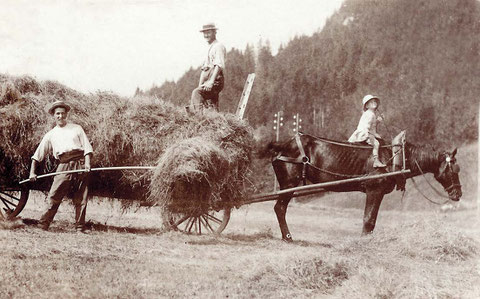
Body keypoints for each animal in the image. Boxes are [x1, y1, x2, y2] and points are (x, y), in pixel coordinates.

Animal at [262, 132, 462, 243]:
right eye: (454, 170)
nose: (458, 194)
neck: (395, 157)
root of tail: (282, 144)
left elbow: (372, 220)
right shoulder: (374, 190)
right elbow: (368, 220)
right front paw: (365, 241)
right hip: (289, 184)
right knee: (280, 208)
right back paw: (288, 237)